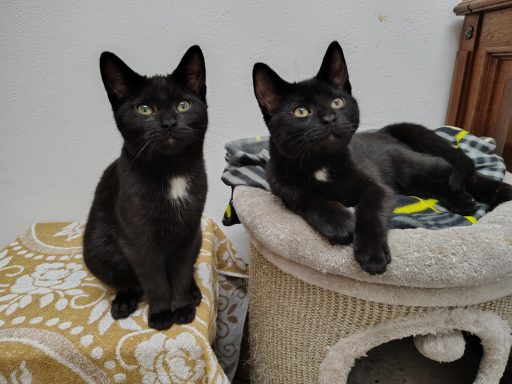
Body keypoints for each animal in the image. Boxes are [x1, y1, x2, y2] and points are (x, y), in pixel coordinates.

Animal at [83, 45, 207, 328]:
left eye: (183, 105)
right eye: (144, 109)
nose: (169, 123)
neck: (172, 173)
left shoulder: (189, 231)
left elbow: (182, 271)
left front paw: (182, 306)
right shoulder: (139, 240)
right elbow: (154, 279)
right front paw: (161, 313)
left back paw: (194, 292)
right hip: (96, 249)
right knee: (129, 280)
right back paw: (124, 301)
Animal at [253, 41, 512, 276]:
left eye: (337, 102)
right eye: (301, 112)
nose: (329, 118)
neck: (321, 165)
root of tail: (387, 130)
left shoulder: (379, 187)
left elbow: (371, 210)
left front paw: (372, 253)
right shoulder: (285, 190)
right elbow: (310, 200)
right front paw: (340, 223)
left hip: (412, 165)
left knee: (455, 172)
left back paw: (500, 192)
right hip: (412, 182)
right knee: (438, 186)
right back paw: (464, 201)